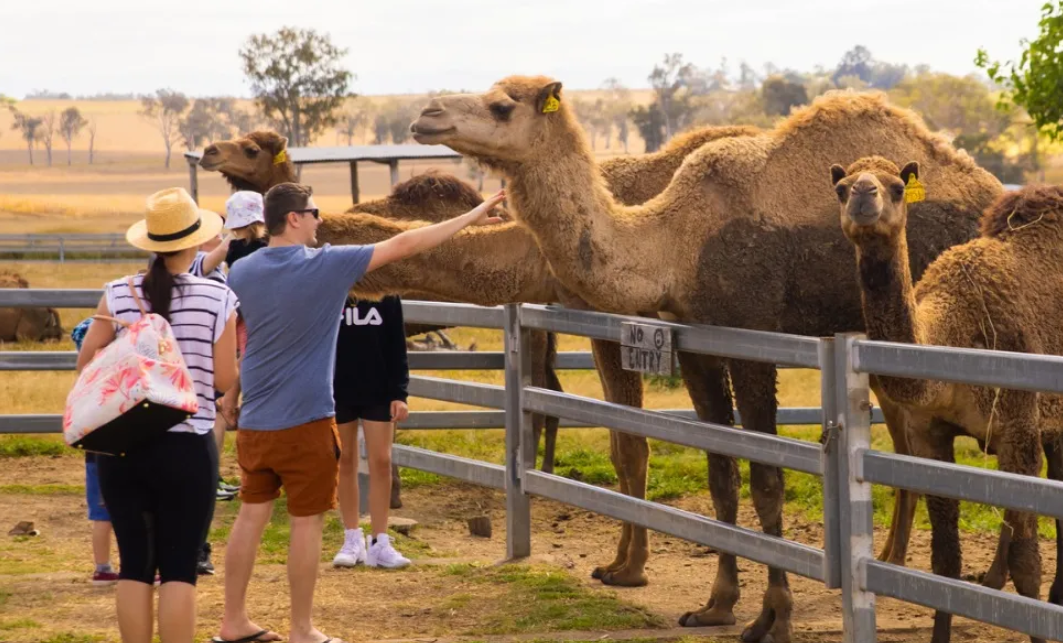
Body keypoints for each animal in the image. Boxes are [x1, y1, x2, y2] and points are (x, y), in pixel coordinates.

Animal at [409, 79, 1002, 642]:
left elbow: (766, 479)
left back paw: (993, 580)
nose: (426, 115)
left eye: (502, 105)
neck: (676, 245)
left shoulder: (753, 340)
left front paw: (773, 618)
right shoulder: (697, 343)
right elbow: (721, 473)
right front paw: (717, 604)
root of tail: (993, 193)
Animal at [834, 159, 1063, 643]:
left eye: (897, 187)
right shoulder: (929, 435)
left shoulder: (1018, 428)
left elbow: (1027, 564)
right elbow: (944, 563)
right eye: (841, 188)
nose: (864, 195)